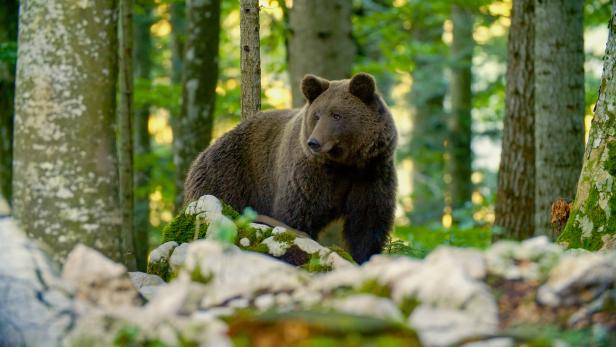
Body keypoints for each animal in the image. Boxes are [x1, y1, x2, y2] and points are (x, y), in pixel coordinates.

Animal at [183, 73, 398, 264]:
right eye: (317, 115)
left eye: (337, 114)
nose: (314, 142)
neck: (344, 164)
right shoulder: (309, 177)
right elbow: (296, 216)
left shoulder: (371, 174)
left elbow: (367, 223)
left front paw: (363, 257)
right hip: (229, 175)